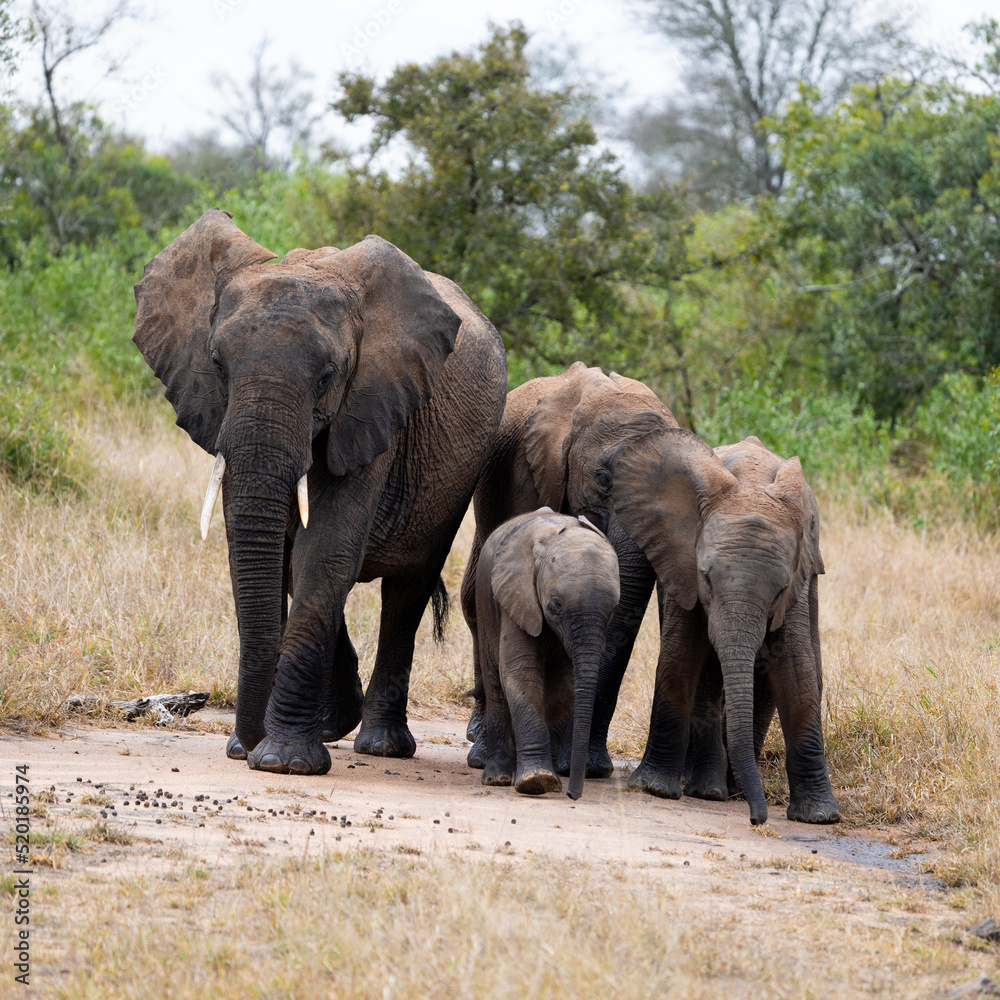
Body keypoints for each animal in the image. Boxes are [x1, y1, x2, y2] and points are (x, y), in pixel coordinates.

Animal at [133, 209, 508, 772]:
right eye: (217, 364)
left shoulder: (374, 406)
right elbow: (276, 556)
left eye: (329, 375)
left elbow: (325, 550)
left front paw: (281, 761)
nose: (244, 745)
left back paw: (380, 745)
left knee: (408, 588)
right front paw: (259, 749)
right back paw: (335, 725)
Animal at [474, 512, 616, 800]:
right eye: (556, 605)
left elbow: (564, 684)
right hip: (484, 604)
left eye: (612, 611)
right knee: (495, 685)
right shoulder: (517, 597)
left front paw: (549, 780)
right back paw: (497, 777)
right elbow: (521, 672)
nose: (573, 795)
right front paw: (536, 781)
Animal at [612, 434, 840, 824]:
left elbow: (796, 670)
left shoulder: (797, 583)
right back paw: (709, 788)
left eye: (779, 590)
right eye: (706, 578)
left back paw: (727, 788)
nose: (757, 819)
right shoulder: (683, 565)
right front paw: (654, 788)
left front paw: (820, 816)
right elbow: (681, 655)